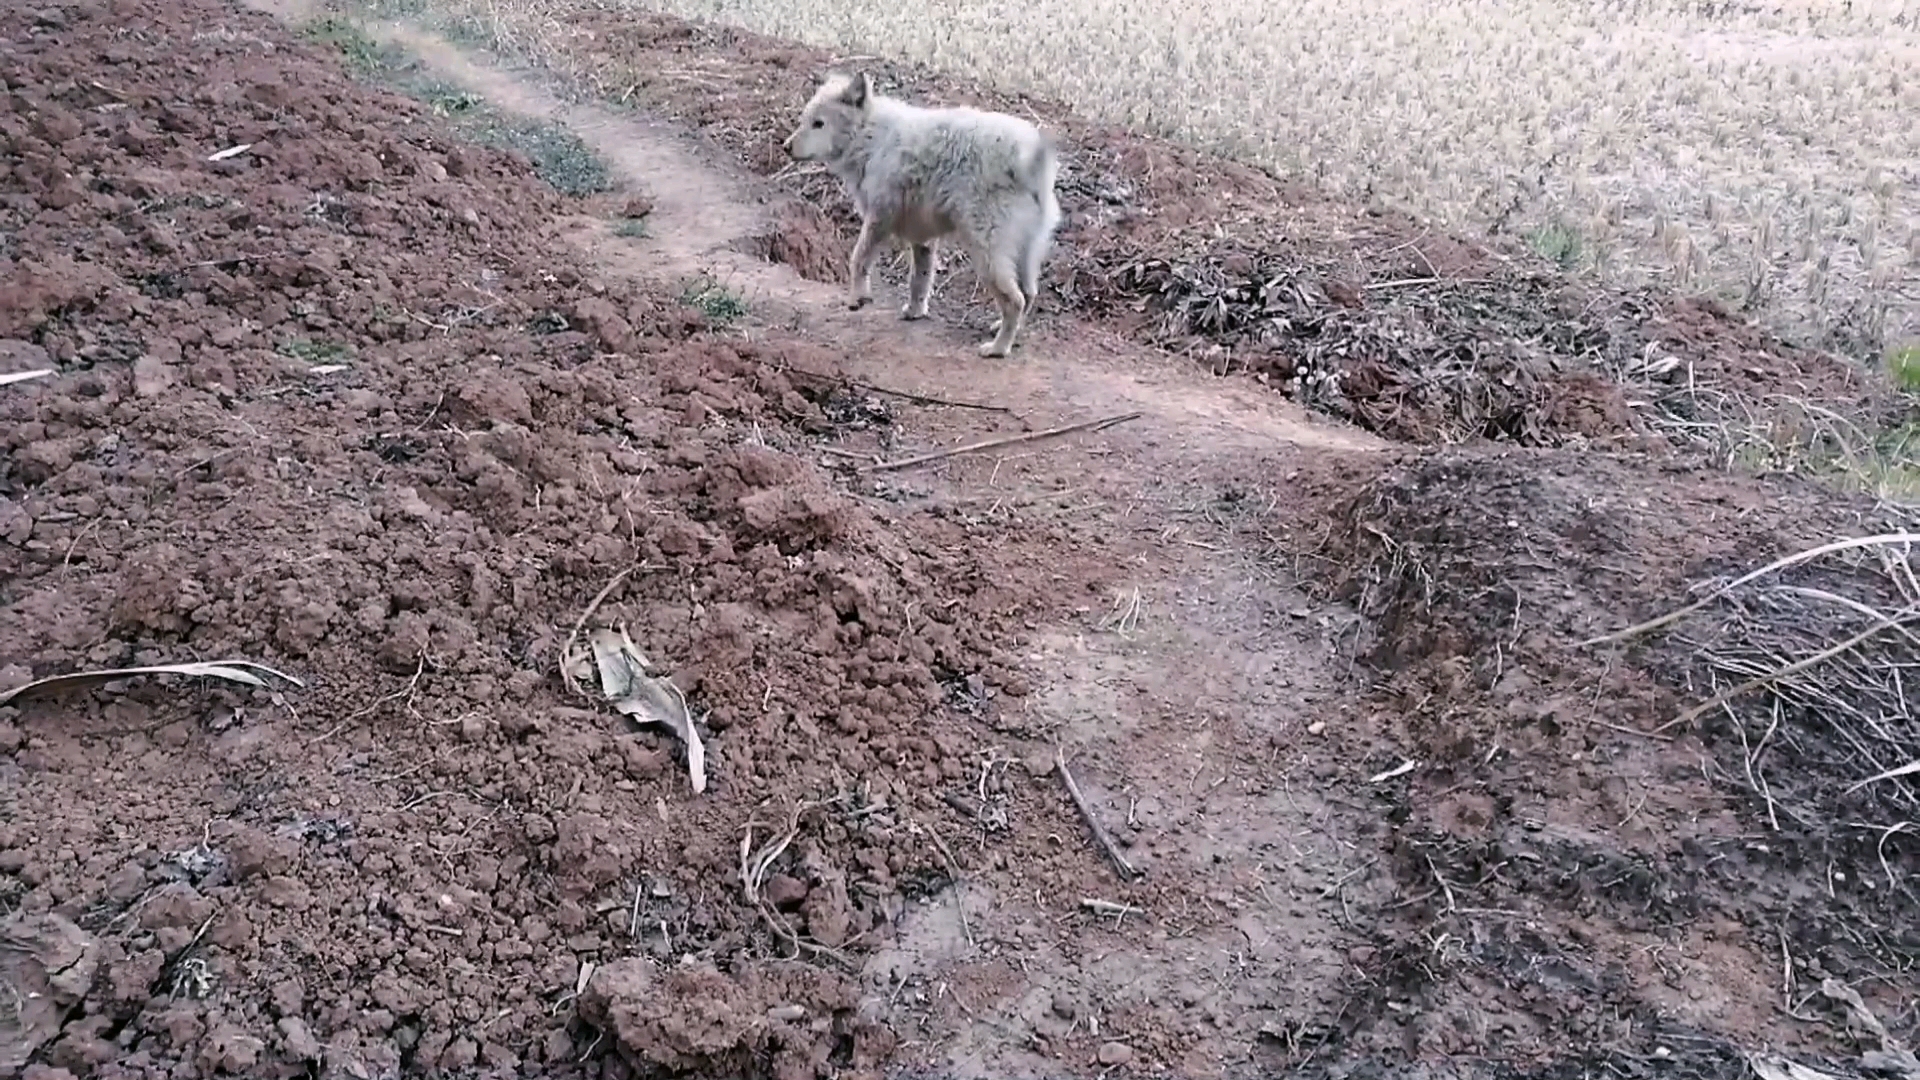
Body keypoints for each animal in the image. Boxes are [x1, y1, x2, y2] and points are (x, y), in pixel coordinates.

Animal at [775, 71, 1059, 357]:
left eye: (819, 123)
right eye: (805, 120)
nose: (786, 147)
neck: (870, 135)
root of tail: (1030, 161)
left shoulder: (879, 217)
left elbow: (858, 258)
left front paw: (857, 298)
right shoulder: (922, 236)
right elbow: (920, 278)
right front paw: (915, 311)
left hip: (987, 251)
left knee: (1015, 300)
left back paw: (998, 348)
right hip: (1025, 251)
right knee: (1028, 293)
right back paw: (1003, 329)